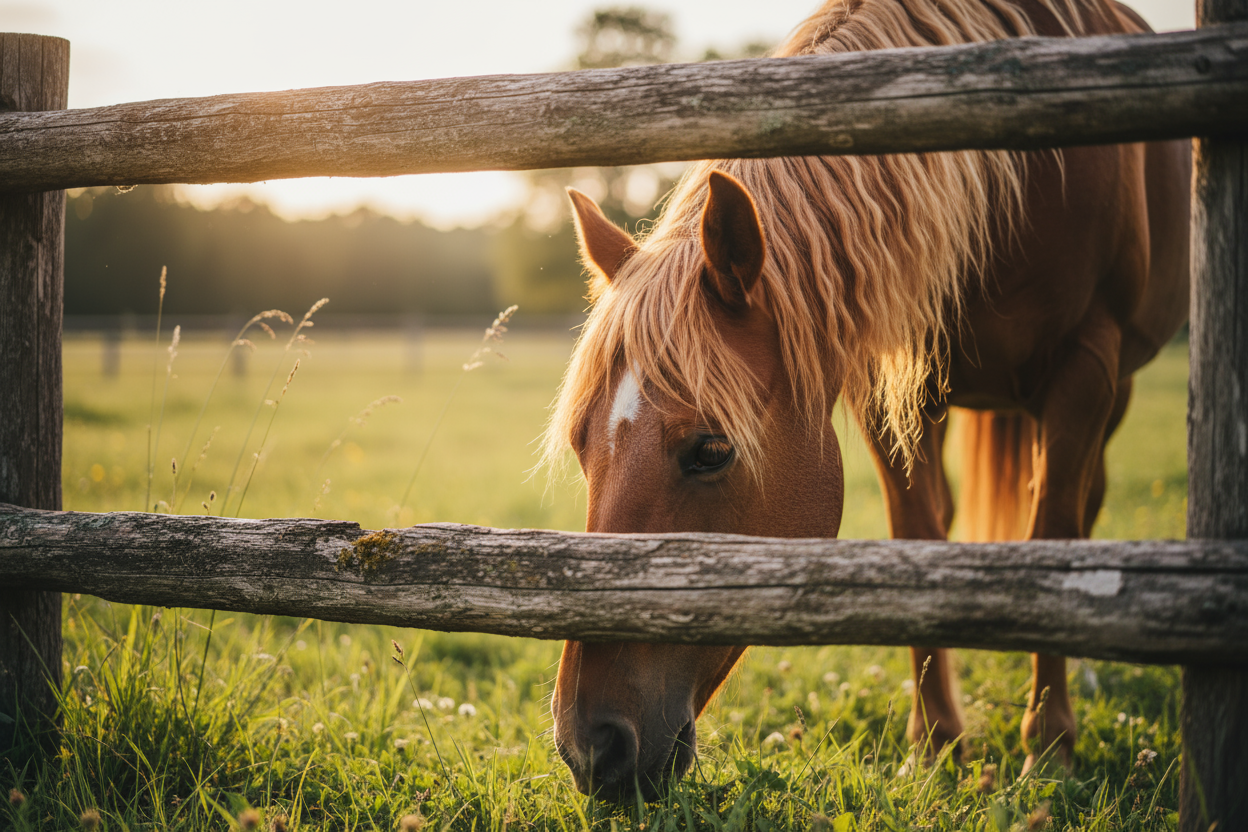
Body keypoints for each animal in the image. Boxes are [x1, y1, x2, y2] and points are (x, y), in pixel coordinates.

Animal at [543, 0, 1190, 801]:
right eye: (582, 445)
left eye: (711, 450)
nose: (591, 747)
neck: (1010, 184)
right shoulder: (895, 383)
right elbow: (917, 536)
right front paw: (937, 743)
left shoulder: (1087, 364)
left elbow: (1054, 534)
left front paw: (1049, 749)